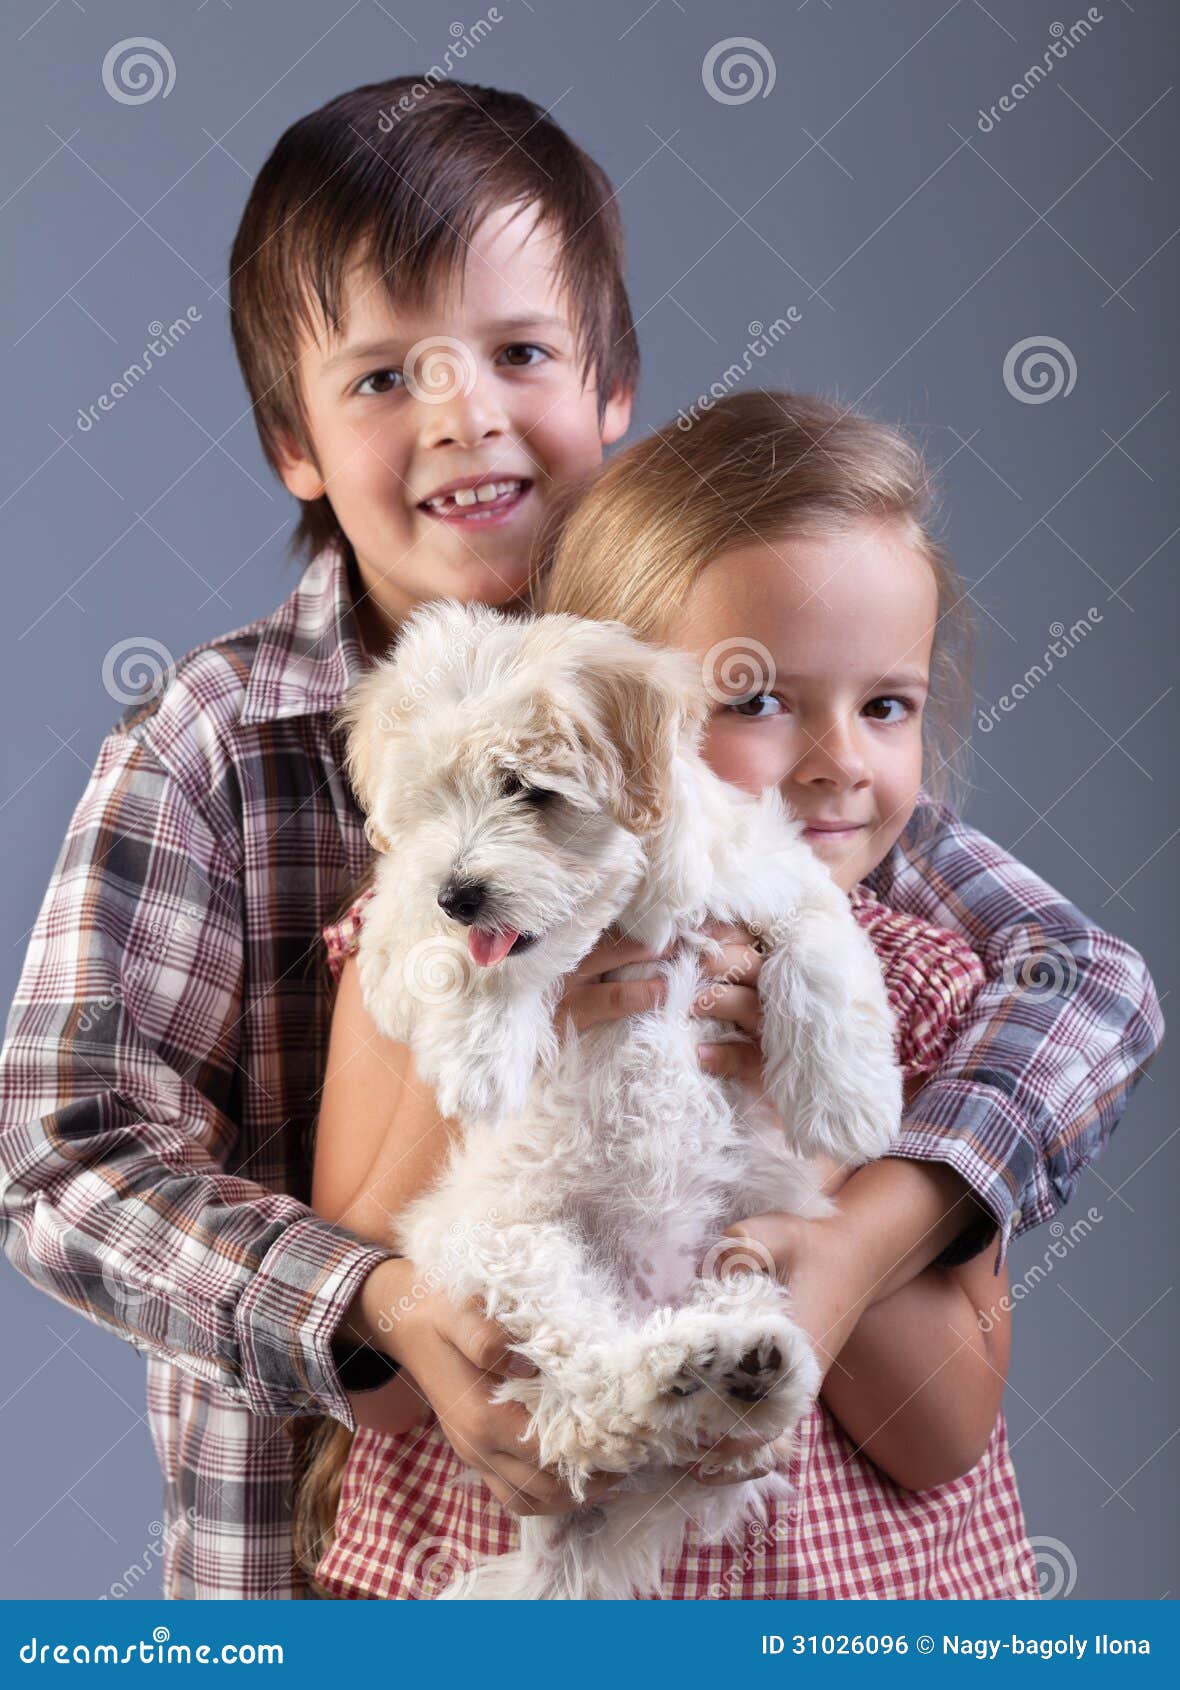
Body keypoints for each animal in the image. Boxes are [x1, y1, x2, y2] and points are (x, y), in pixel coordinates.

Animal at [334, 605, 899, 1595]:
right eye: (431, 803)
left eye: (527, 791)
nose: (461, 893)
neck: (622, 921)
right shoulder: (401, 925)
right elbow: (427, 954)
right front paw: (479, 1055)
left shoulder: (776, 873)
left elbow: (817, 945)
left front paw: (850, 1100)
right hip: (516, 1254)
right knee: (592, 1402)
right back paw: (677, 1371)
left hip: (743, 1256)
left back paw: (748, 1367)